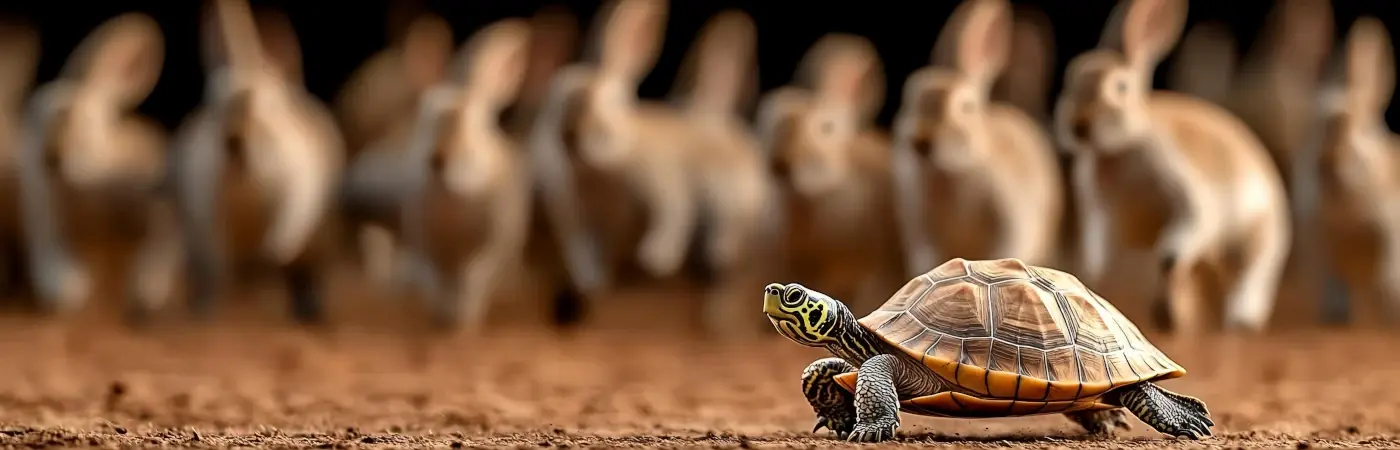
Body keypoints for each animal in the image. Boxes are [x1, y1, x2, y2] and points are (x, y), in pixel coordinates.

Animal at [13, 13, 178, 318]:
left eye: (79, 120)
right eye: (30, 122)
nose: (50, 158)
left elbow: (163, 239)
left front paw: (147, 292)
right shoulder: (42, 201)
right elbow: (47, 239)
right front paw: (66, 287)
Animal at [166, 0, 345, 323]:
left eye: (272, 103)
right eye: (211, 96)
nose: (234, 138)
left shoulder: (300, 183)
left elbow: (292, 220)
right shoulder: (201, 194)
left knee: (302, 271)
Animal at [530, 0, 774, 334]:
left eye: (610, 102)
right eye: (555, 102)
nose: (572, 135)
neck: (599, 171)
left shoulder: (662, 179)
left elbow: (674, 212)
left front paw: (655, 260)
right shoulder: (577, 215)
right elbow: (583, 251)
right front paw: (593, 283)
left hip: (732, 204)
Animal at [890, 0, 1064, 277]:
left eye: (966, 107)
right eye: (908, 102)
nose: (921, 140)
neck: (950, 173)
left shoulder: (1009, 226)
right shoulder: (923, 237)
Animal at [1053, 0, 1292, 335]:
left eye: (1120, 87)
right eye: (1069, 81)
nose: (1079, 126)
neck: (1120, 151)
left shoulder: (1185, 195)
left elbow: (1174, 249)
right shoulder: (1100, 211)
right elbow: (1101, 254)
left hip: (1257, 239)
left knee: (1251, 275)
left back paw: (1237, 319)